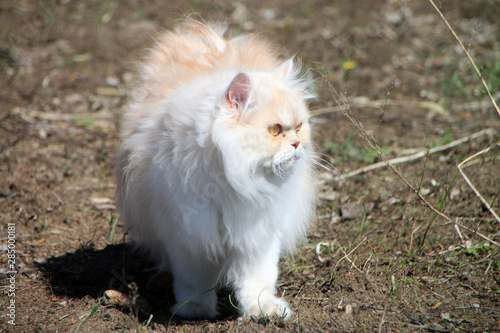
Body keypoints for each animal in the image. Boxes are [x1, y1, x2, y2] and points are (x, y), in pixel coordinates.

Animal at [115, 18, 314, 320]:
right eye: (274, 130)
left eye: (300, 126)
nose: (296, 143)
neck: (235, 180)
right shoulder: (187, 235)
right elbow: (193, 281)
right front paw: (195, 310)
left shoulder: (258, 234)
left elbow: (256, 280)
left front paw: (262, 310)